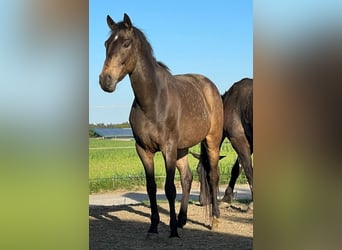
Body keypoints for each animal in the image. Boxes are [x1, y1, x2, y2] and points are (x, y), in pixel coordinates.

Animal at [98, 14, 224, 238]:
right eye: (106, 43)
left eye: (126, 43)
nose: (105, 80)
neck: (153, 101)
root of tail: (209, 85)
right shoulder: (143, 150)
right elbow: (151, 187)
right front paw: (154, 227)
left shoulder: (168, 148)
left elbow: (169, 189)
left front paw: (171, 230)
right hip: (182, 148)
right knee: (187, 178)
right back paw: (182, 219)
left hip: (211, 141)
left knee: (213, 176)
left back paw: (215, 220)